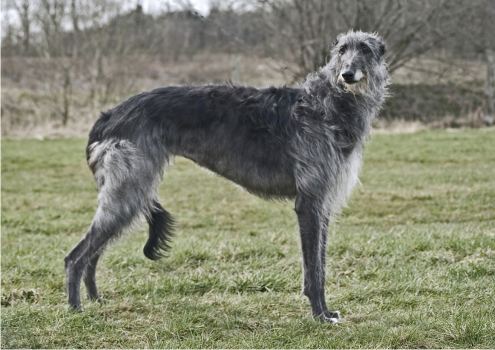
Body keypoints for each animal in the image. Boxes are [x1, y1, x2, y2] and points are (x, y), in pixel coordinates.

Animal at [65, 30, 392, 322]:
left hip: (125, 192)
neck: (329, 106)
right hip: (129, 190)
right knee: (75, 257)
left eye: (364, 49)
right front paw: (320, 315)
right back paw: (75, 309)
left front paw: (325, 312)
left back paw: (95, 299)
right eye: (342, 50)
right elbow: (314, 268)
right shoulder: (309, 202)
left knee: (93, 253)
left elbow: (320, 262)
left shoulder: (322, 204)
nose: (347, 75)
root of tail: (108, 117)